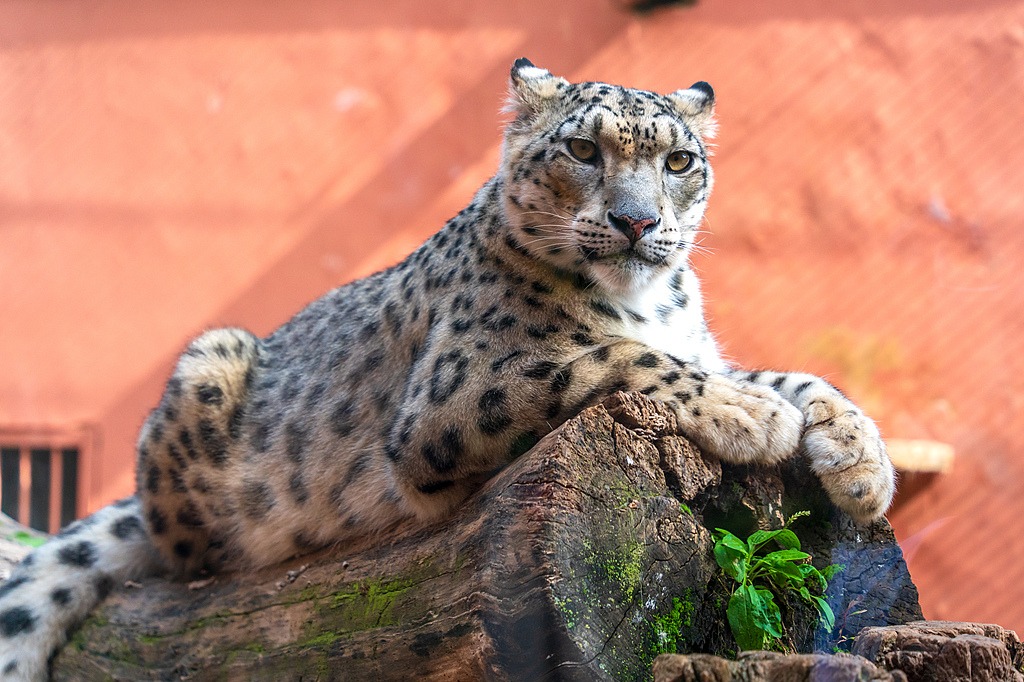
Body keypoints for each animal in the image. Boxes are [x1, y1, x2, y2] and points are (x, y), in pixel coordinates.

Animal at [0, 59, 895, 680]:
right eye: (581, 148)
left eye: (679, 161)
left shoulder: (706, 346)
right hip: (210, 360)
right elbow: (615, 355)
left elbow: (791, 375)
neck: (653, 301)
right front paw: (753, 418)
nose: (637, 221)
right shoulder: (461, 395)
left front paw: (861, 464)